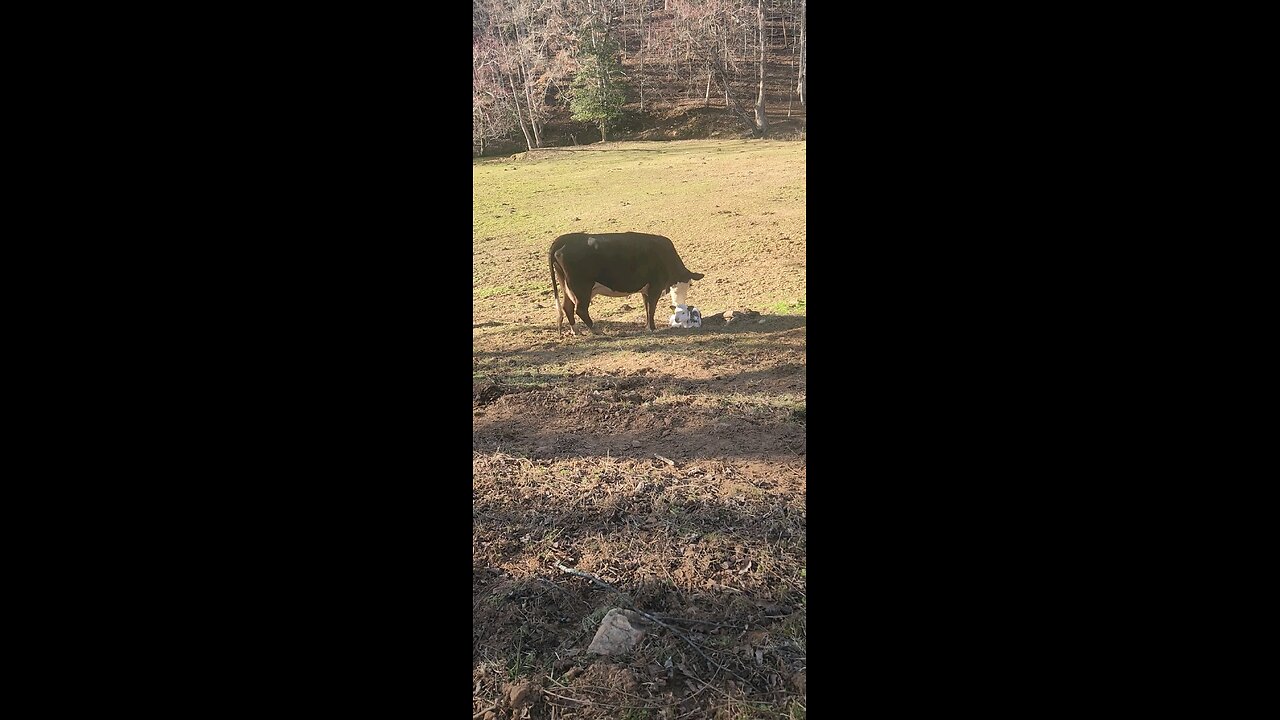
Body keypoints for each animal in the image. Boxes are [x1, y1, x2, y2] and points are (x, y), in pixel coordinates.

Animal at [549, 232, 705, 335]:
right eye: (680, 286)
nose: (679, 304)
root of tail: (563, 239)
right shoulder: (655, 287)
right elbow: (652, 308)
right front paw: (652, 328)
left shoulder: (646, 290)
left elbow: (647, 307)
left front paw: (648, 326)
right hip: (581, 288)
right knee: (580, 309)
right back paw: (597, 331)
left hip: (567, 287)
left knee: (567, 307)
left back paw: (576, 331)